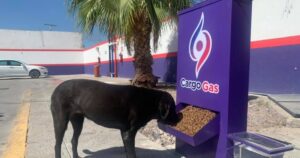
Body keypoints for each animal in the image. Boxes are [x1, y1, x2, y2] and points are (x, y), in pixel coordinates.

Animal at [50, 79, 179, 158]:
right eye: (173, 107)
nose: (179, 118)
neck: (149, 101)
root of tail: (55, 90)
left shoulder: (124, 133)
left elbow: (128, 152)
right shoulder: (129, 133)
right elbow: (132, 154)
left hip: (78, 121)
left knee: (74, 140)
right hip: (60, 122)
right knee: (57, 145)